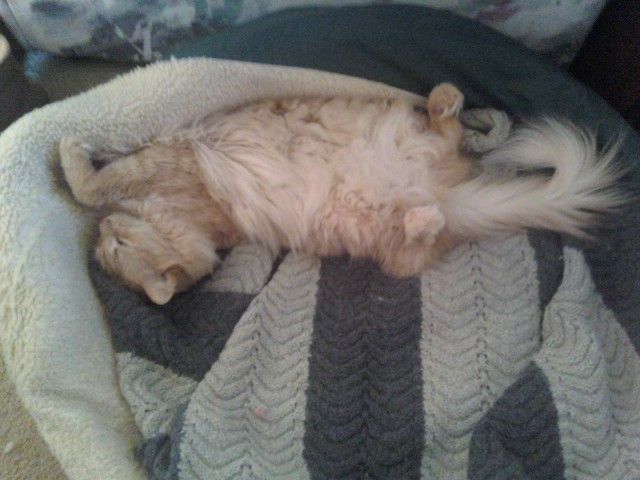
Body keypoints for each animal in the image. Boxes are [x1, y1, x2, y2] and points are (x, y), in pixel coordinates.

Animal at [59, 83, 625, 304]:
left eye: (115, 249)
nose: (102, 235)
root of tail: (446, 196)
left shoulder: (159, 160)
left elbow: (91, 182)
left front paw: (69, 148)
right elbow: (96, 186)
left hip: (411, 142)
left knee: (448, 130)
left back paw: (444, 98)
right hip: (373, 230)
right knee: (413, 249)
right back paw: (423, 218)